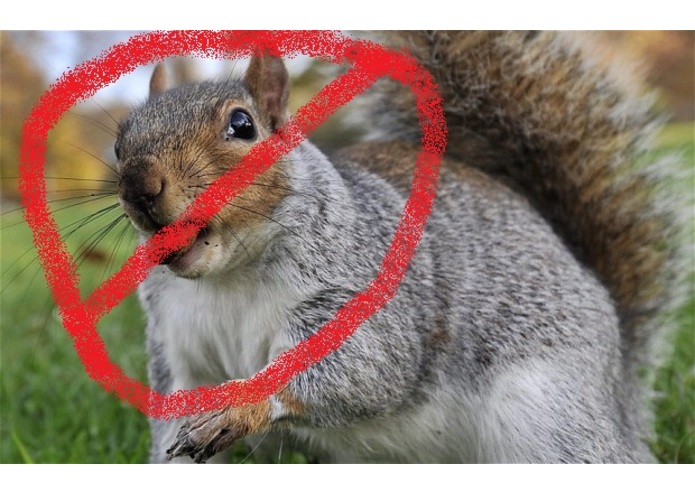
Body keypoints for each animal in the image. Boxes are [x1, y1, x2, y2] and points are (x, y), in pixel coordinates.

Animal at [113, 31, 682, 463]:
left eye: (241, 125)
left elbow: (370, 368)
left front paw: (241, 406)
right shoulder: (177, 348)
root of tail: (619, 391)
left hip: (548, 412)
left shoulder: (357, 291)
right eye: (120, 143)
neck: (224, 277)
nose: (140, 185)